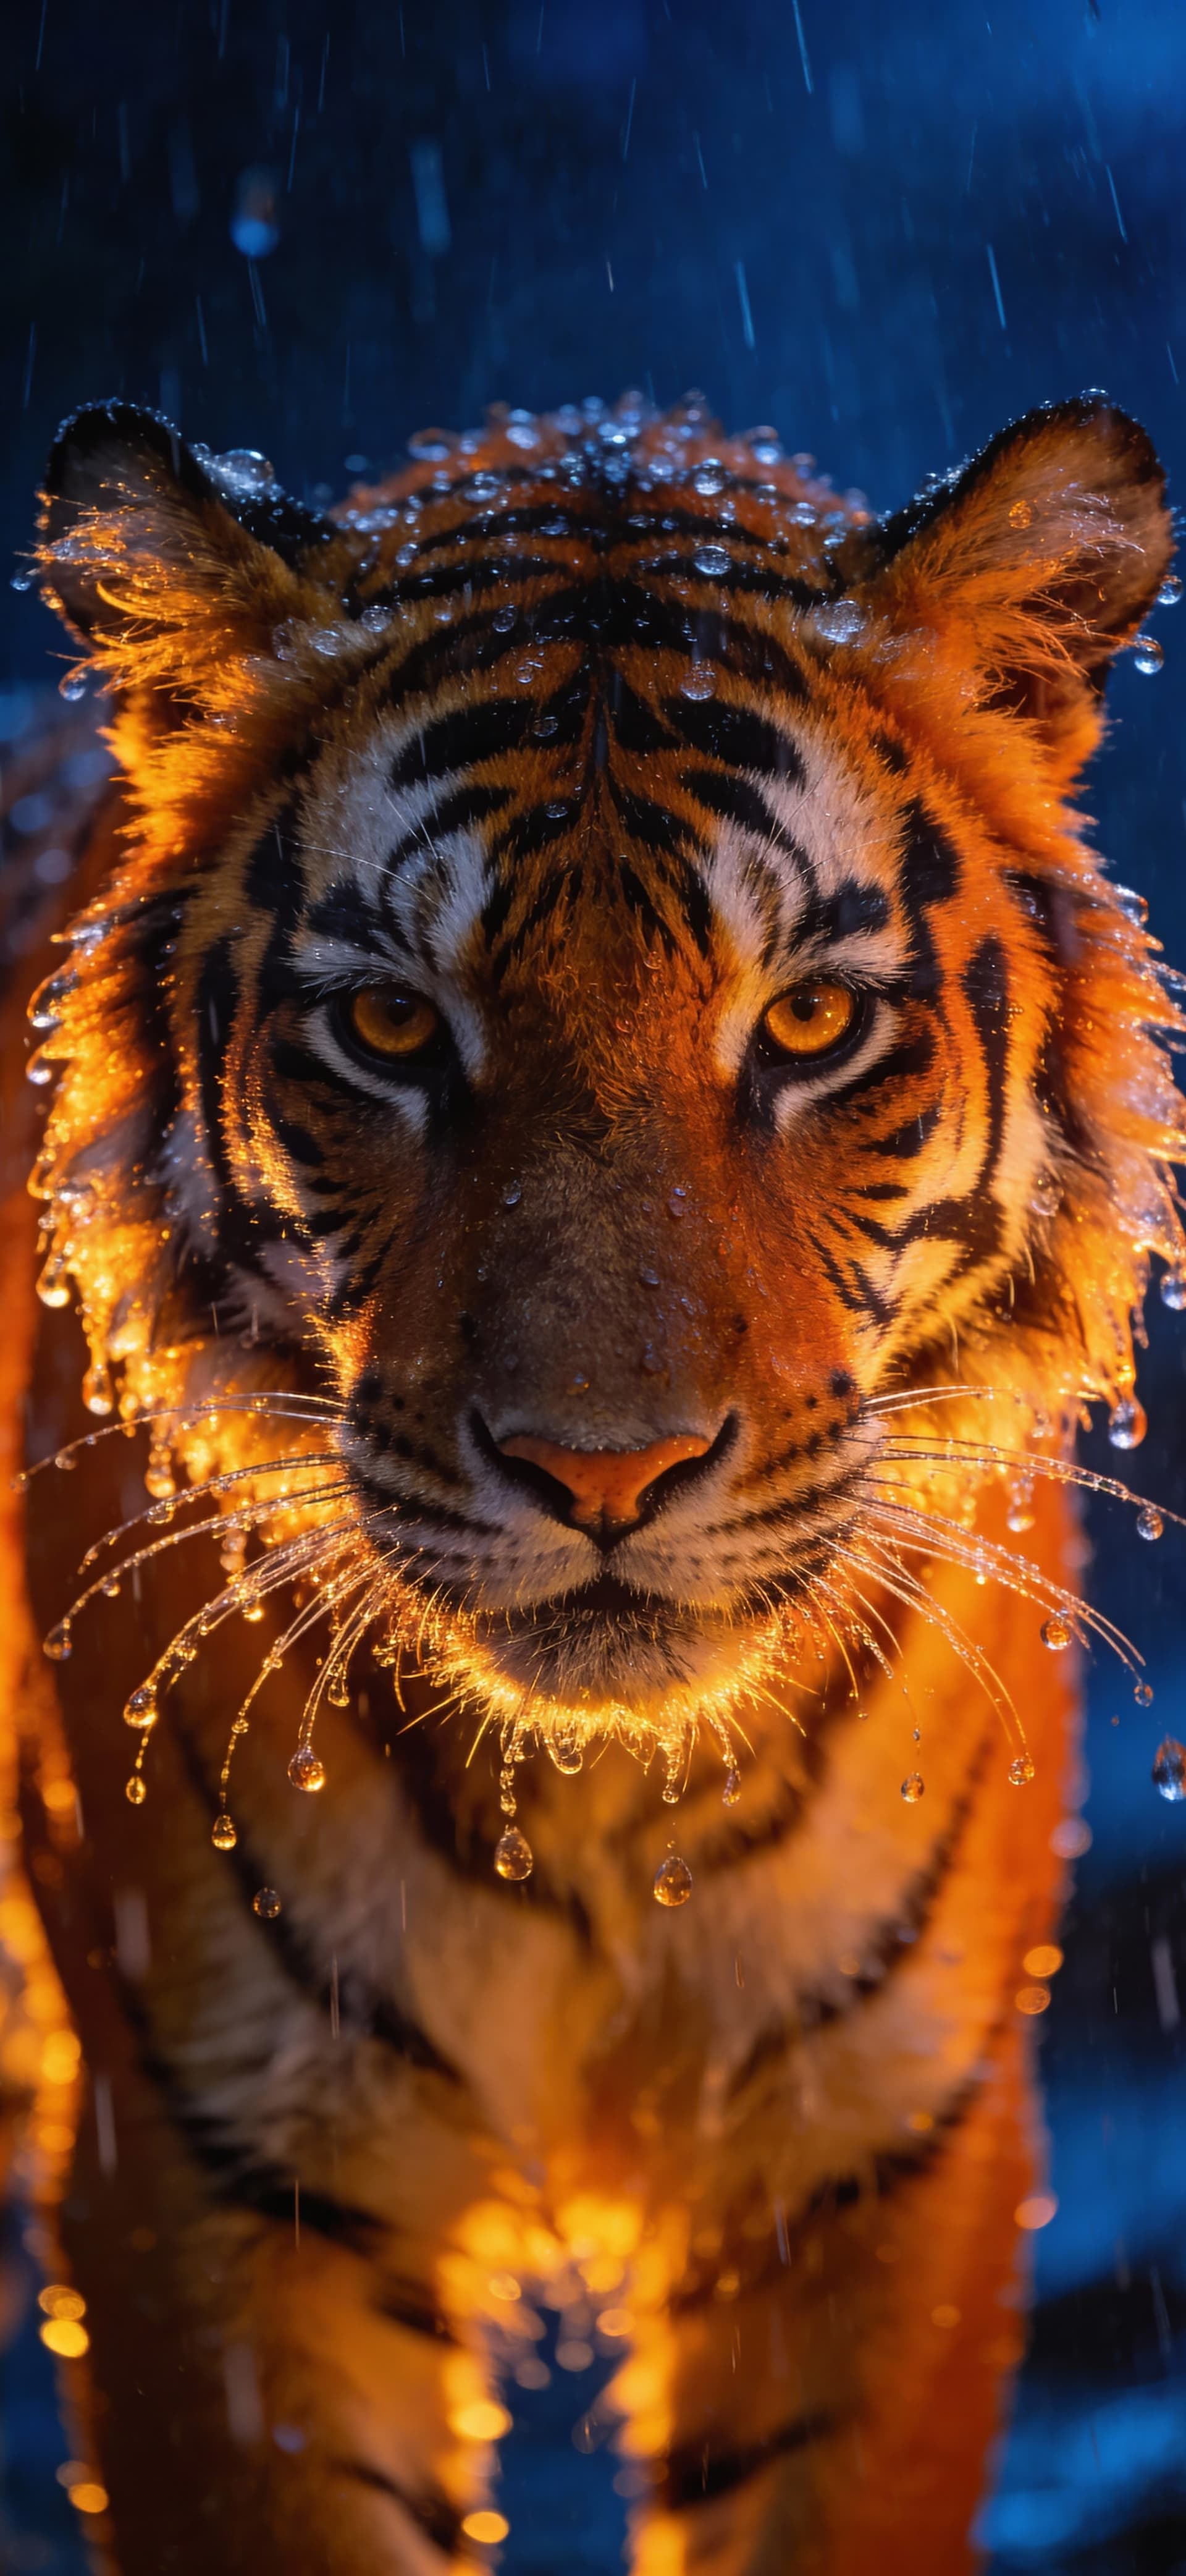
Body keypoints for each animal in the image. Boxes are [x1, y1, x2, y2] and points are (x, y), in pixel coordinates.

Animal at [0, 385, 1180, 2576]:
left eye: (811, 1022)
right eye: (392, 1026)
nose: (602, 1469)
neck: (601, 1815)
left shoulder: (884, 2152)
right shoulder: (208, 2159)